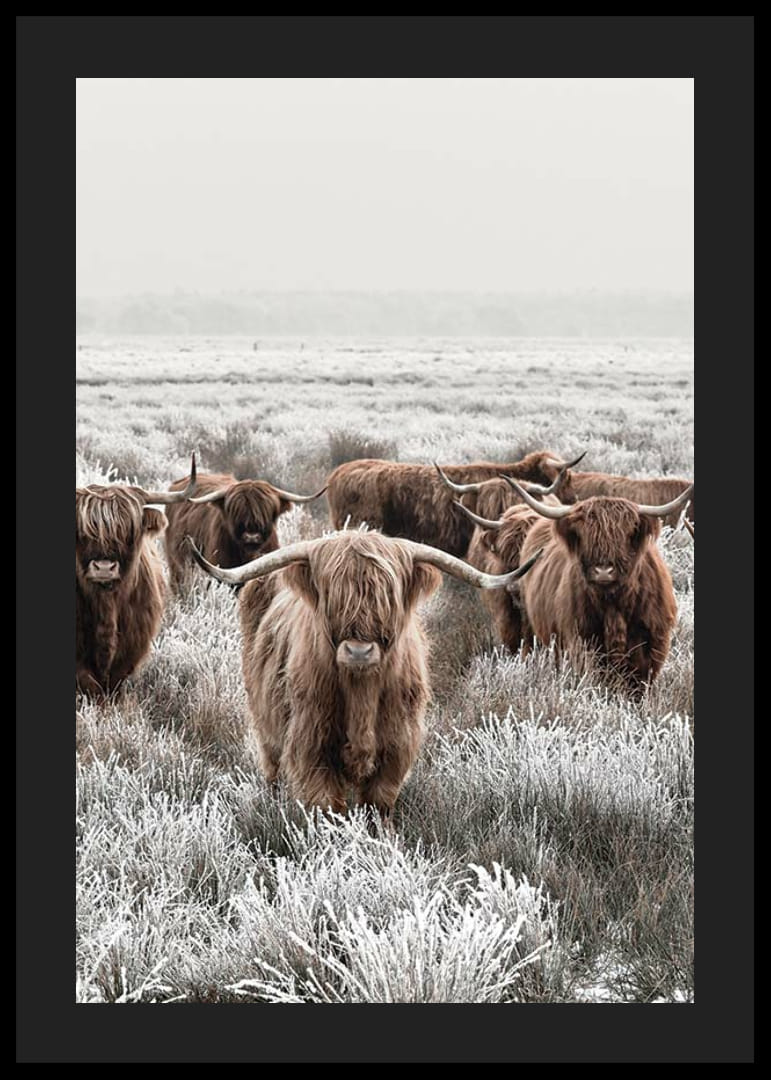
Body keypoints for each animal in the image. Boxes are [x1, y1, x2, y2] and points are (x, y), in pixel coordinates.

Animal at [188, 529, 542, 815]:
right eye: (333, 596)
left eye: (387, 597)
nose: (359, 651)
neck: (361, 693)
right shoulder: (310, 745)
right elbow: (328, 806)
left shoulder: (397, 746)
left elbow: (378, 804)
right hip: (266, 725)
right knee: (272, 766)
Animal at [493, 479, 694, 691]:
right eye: (585, 535)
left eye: (626, 534)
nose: (603, 571)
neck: (613, 604)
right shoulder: (582, 640)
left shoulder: (651, 643)